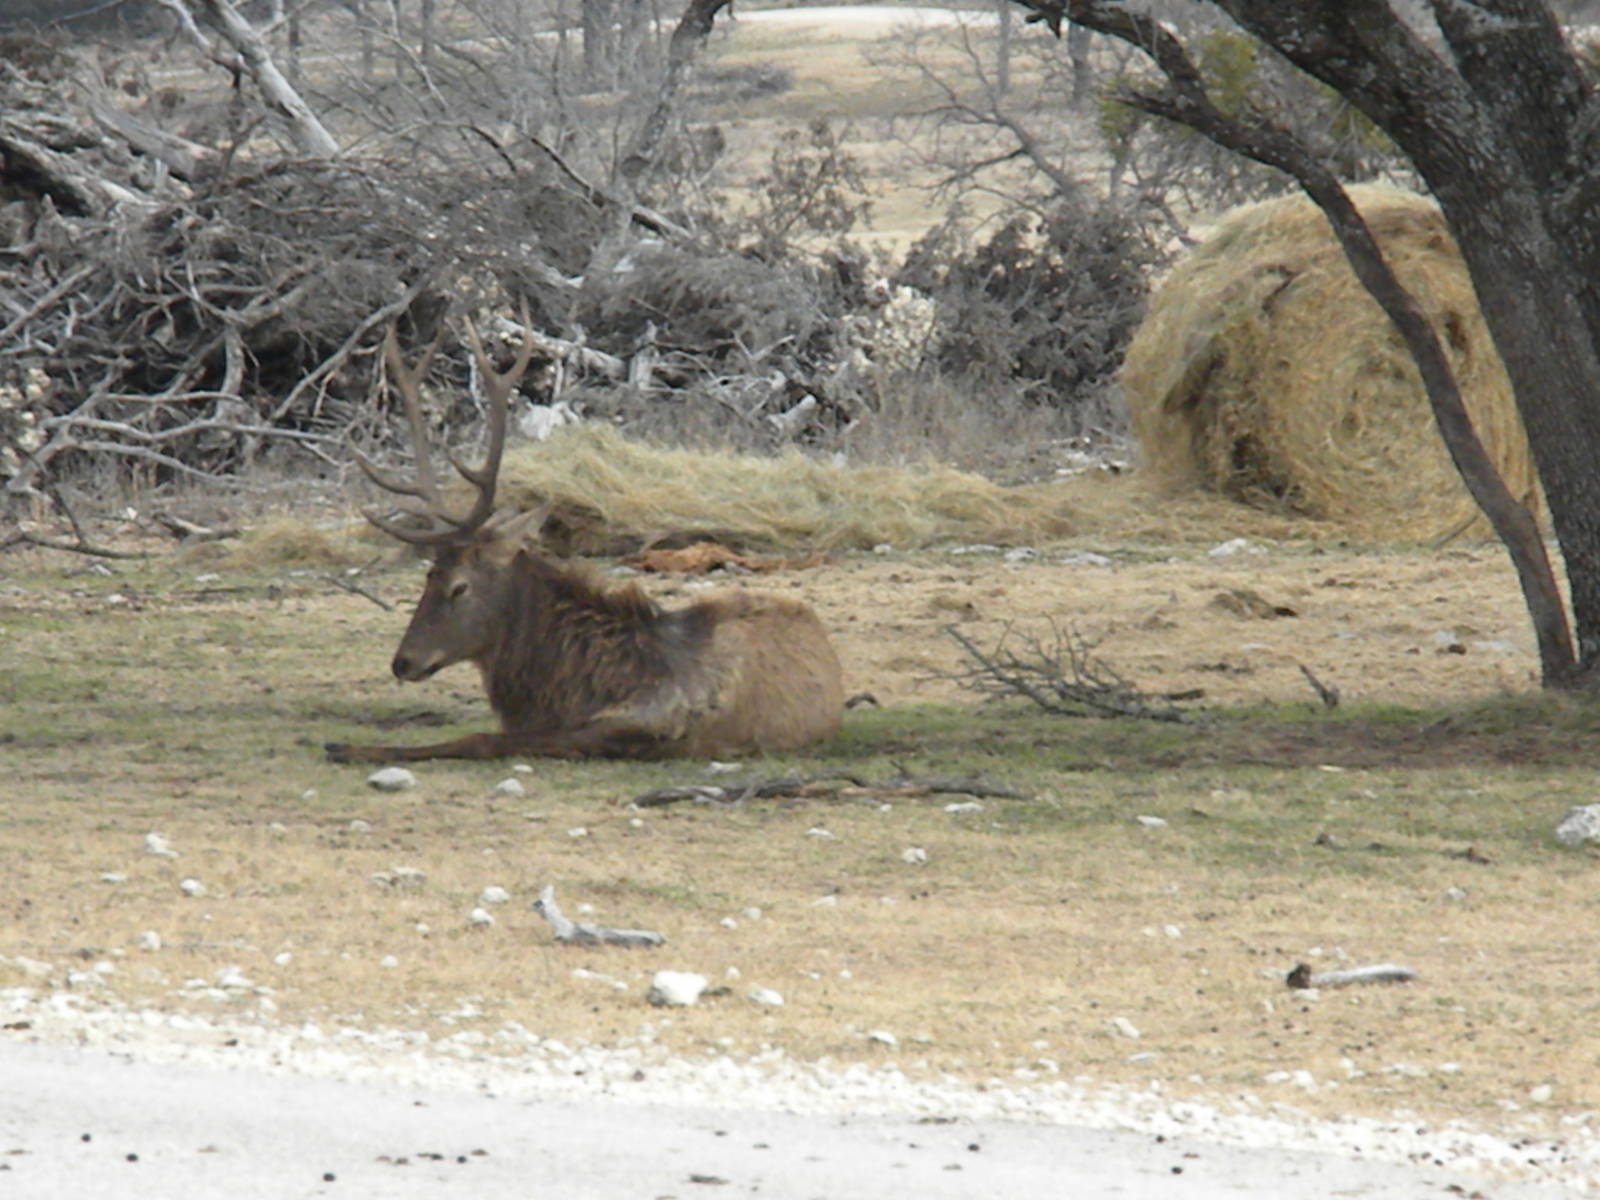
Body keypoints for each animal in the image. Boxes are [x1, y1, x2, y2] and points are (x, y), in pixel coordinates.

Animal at [324, 314, 845, 764]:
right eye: (427, 576)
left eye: (459, 586)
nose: (403, 662)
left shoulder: (648, 725)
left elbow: (481, 739)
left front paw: (351, 748)